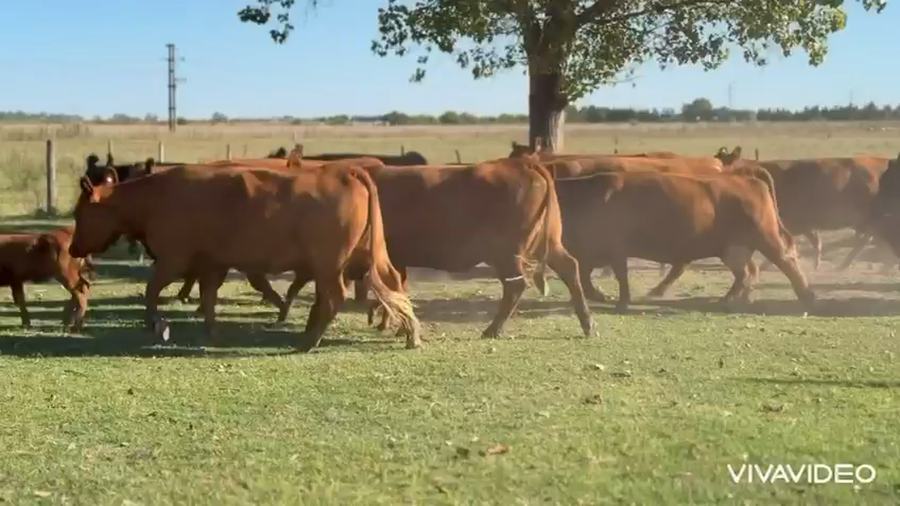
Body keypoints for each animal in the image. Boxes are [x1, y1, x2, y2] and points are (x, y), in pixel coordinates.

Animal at [68, 163, 421, 352]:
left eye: (79, 213)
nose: (72, 249)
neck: (154, 197)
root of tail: (343, 170)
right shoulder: (211, 263)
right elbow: (208, 296)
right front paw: (210, 330)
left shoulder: (174, 259)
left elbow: (152, 290)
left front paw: (154, 323)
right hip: (368, 255)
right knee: (394, 285)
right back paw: (410, 334)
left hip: (329, 264)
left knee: (335, 296)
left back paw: (308, 341)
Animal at [277, 156, 596, 340]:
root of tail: (523, 163)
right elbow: (395, 287)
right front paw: (391, 324)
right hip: (549, 241)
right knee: (570, 268)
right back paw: (588, 324)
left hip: (507, 252)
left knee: (516, 286)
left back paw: (492, 329)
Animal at [551, 168, 815, 311]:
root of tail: (748, 179)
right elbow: (585, 275)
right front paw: (600, 296)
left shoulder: (615, 249)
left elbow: (619, 276)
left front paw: (620, 302)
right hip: (732, 248)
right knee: (747, 273)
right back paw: (731, 299)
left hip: (766, 238)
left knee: (786, 262)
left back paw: (807, 296)